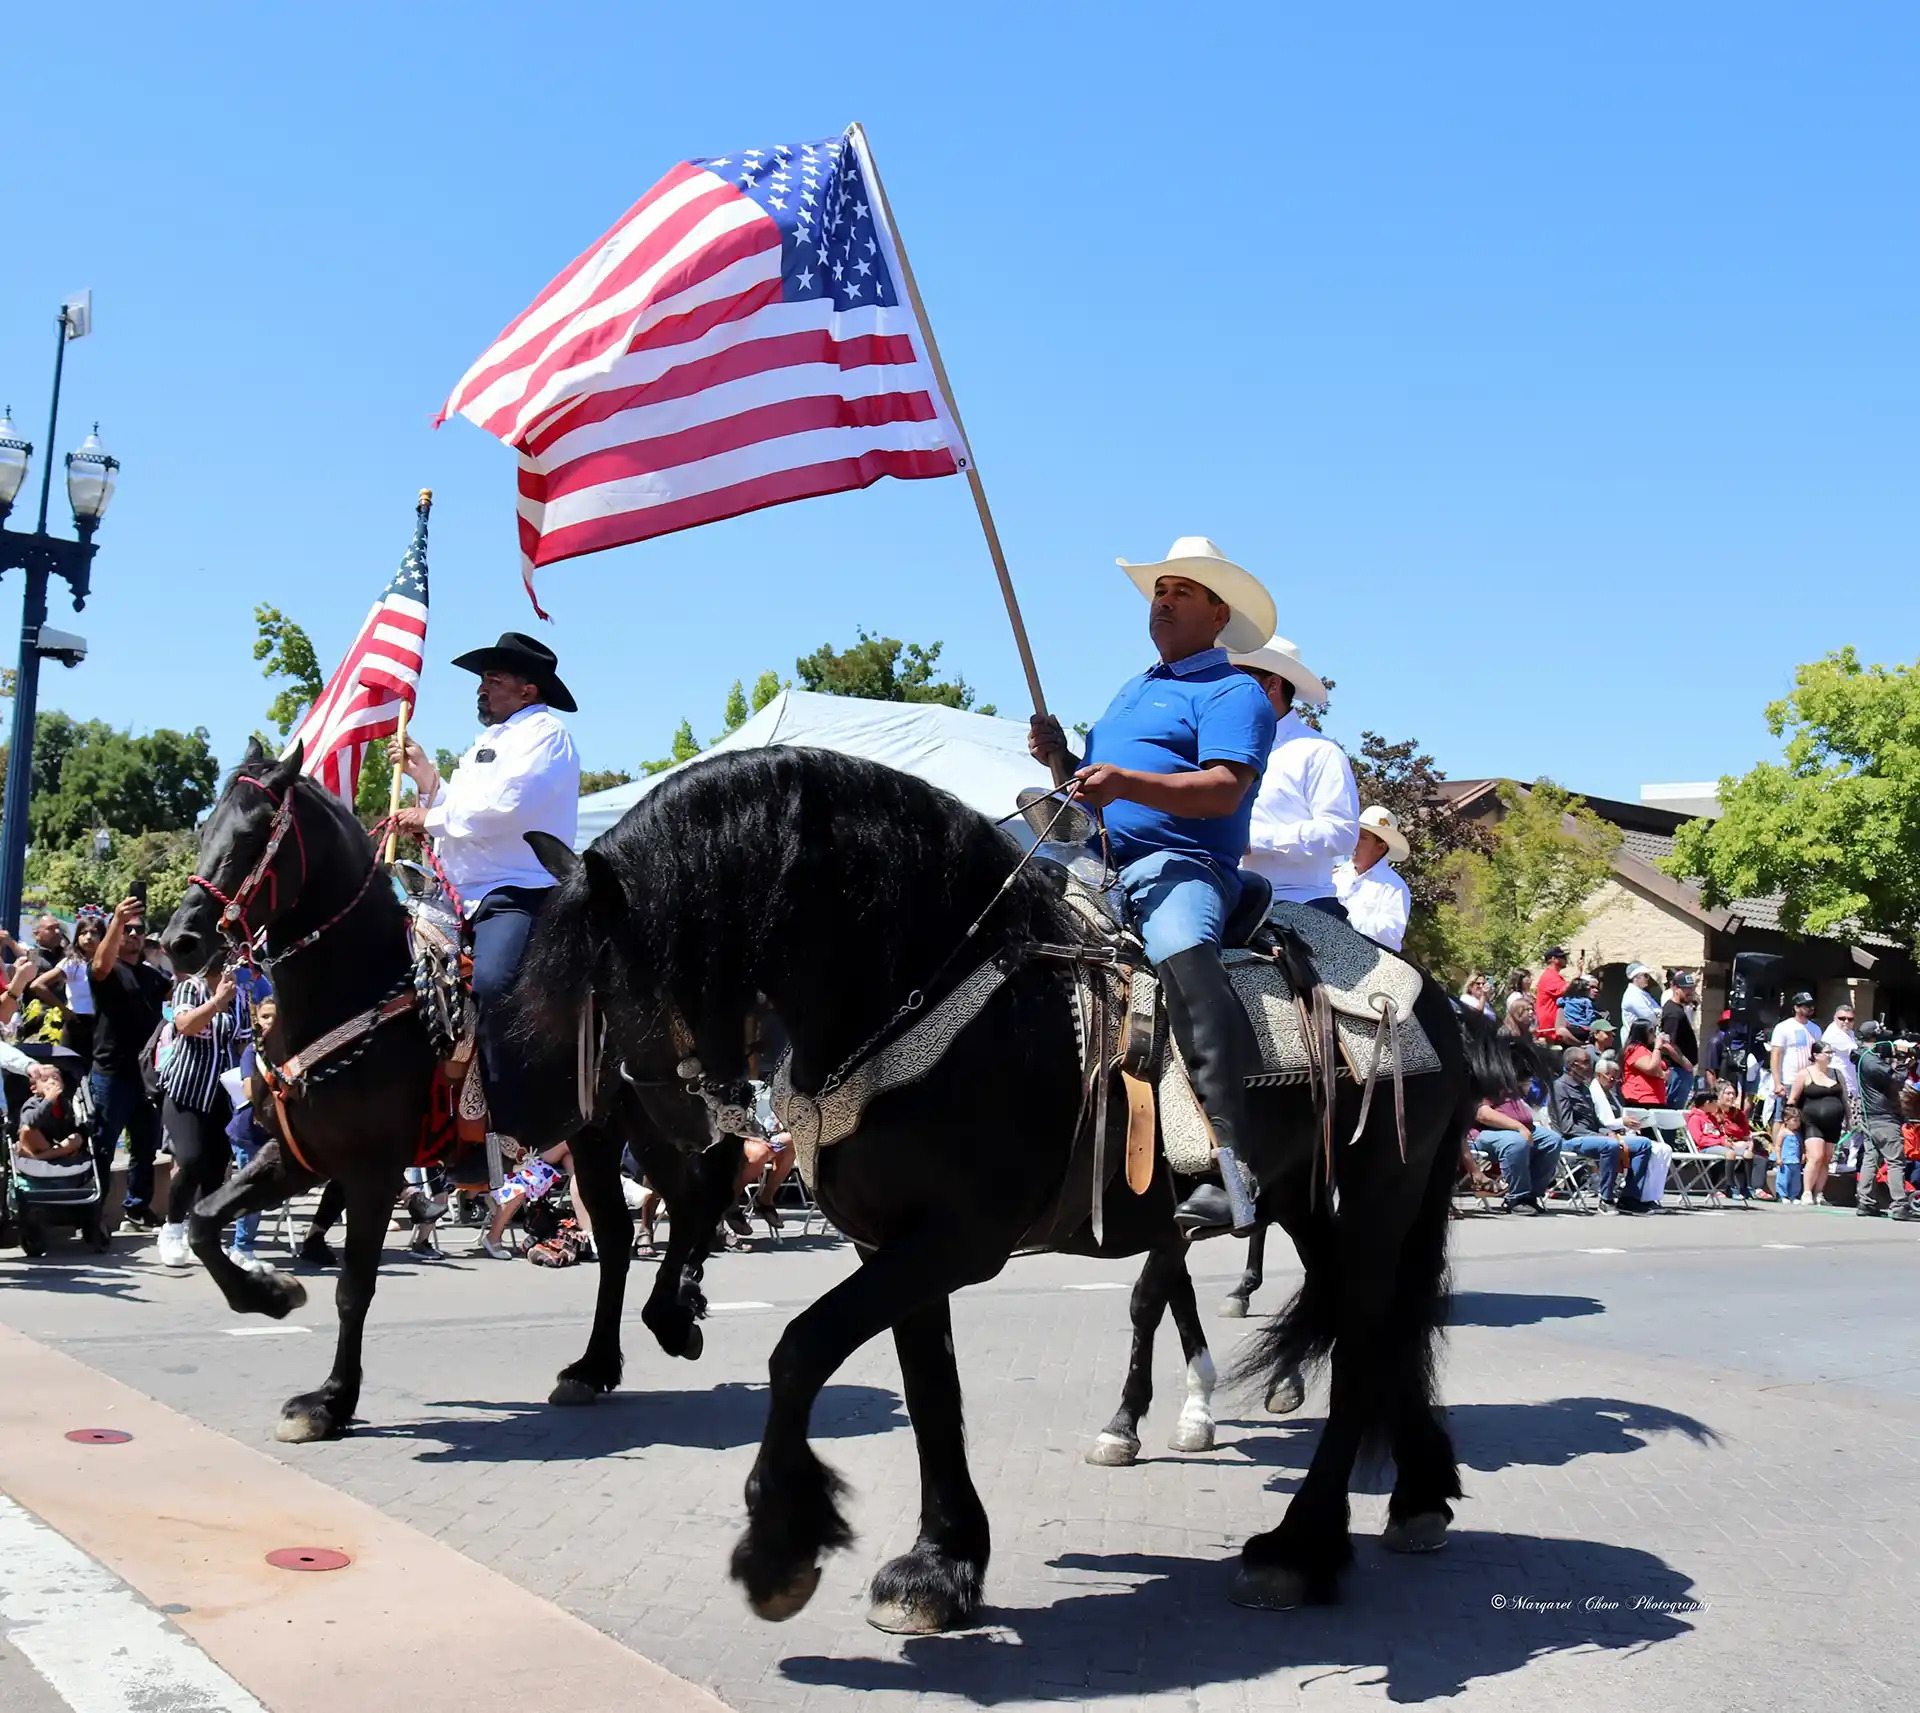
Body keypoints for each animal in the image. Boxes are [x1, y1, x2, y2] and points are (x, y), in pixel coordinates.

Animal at [159, 741, 733, 1436]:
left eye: (253, 833)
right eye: (203, 831)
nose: (179, 942)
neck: (358, 987)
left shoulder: (371, 1169)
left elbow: (354, 1287)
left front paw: (331, 1400)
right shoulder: (302, 1155)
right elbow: (203, 1220)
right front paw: (269, 1294)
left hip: (651, 1122)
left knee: (691, 1202)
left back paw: (672, 1317)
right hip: (594, 1135)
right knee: (621, 1237)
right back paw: (593, 1366)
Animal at [510, 745, 1482, 1620]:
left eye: (609, 979)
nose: (668, 1138)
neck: (931, 989)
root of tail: (1431, 998)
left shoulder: (958, 1238)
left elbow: (801, 1349)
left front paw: (781, 1545)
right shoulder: (891, 1241)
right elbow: (930, 1390)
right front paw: (942, 1562)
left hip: (1376, 1205)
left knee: (1363, 1345)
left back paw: (1301, 1547)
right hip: (1314, 1210)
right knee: (1376, 1330)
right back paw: (1418, 1494)